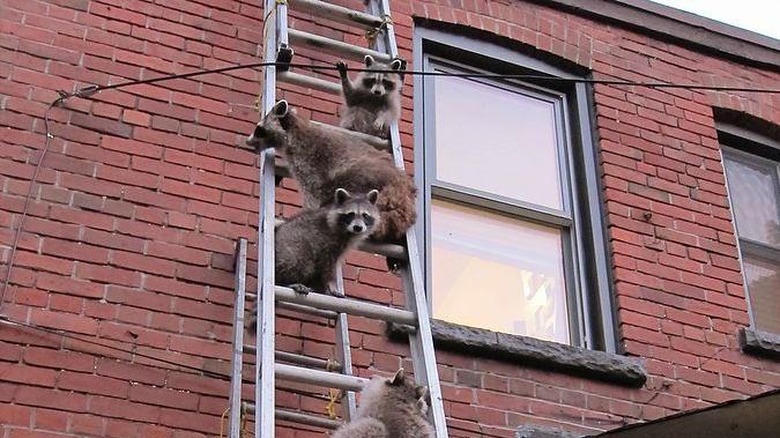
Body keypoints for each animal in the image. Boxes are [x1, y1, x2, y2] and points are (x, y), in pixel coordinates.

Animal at [246, 188, 379, 332]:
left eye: (365, 215)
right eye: (351, 214)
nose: (358, 227)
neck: (347, 231)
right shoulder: (327, 241)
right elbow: (328, 267)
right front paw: (331, 286)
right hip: (290, 248)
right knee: (300, 260)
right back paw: (285, 281)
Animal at [247, 99, 416, 243]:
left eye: (259, 129)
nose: (248, 141)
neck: (295, 129)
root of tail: (404, 189)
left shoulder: (309, 161)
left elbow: (313, 195)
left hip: (368, 180)